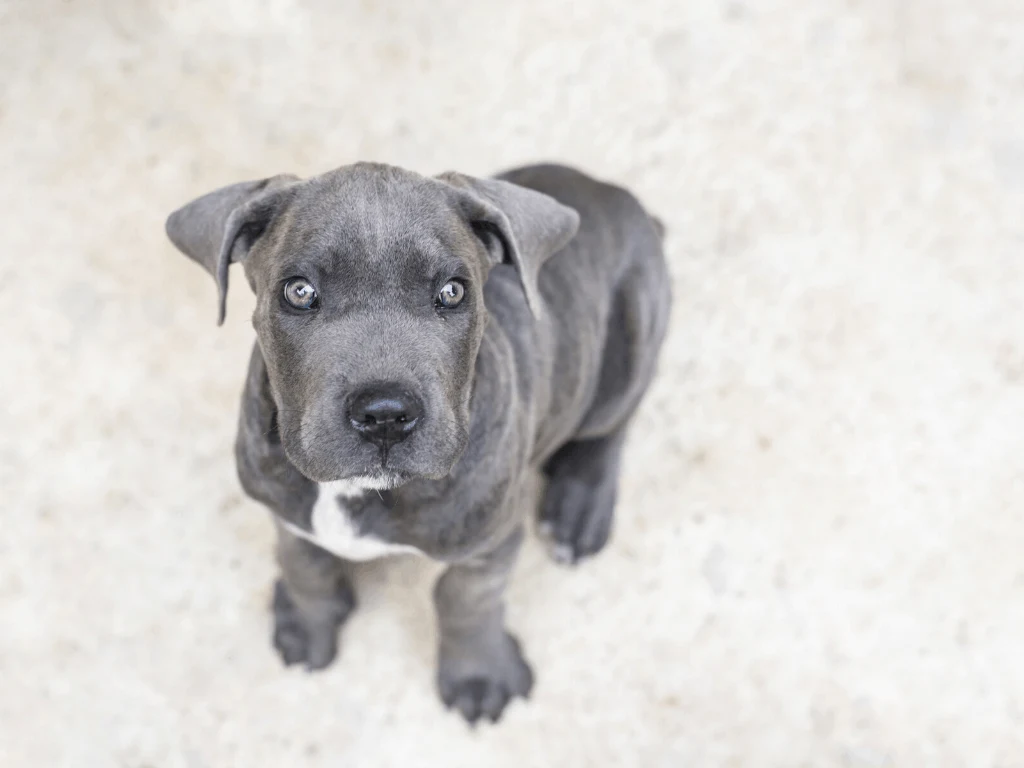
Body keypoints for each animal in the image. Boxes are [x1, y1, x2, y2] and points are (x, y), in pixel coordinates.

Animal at [163, 163, 667, 729]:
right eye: (299, 291)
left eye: (452, 292)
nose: (385, 415)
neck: (358, 492)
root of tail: (610, 191)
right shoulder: (280, 506)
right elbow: (303, 560)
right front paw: (308, 619)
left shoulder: (492, 540)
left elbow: (465, 600)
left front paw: (478, 674)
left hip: (632, 339)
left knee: (613, 422)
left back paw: (579, 509)